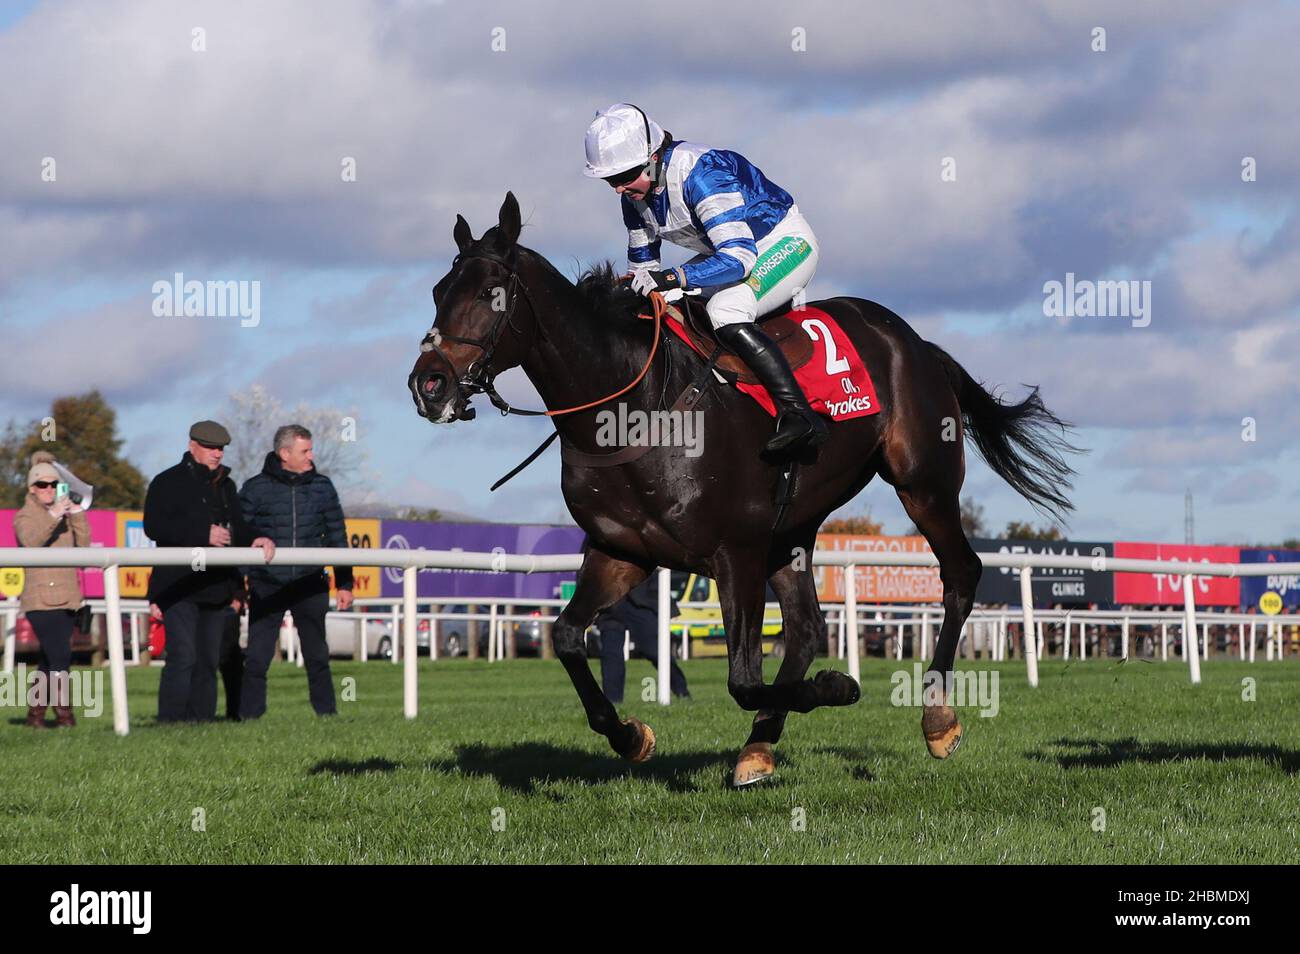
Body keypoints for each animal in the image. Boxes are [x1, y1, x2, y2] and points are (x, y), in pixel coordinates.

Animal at [410, 192, 1081, 785]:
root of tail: (916, 342)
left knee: (960, 573)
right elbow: (569, 637)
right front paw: (631, 735)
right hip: (795, 523)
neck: (632, 407)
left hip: (923, 482)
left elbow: (741, 678)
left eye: (490, 295)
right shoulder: (622, 551)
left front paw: (839, 685)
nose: (429, 384)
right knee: (807, 628)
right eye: (440, 293)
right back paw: (758, 748)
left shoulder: (735, 551)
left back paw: (936, 718)